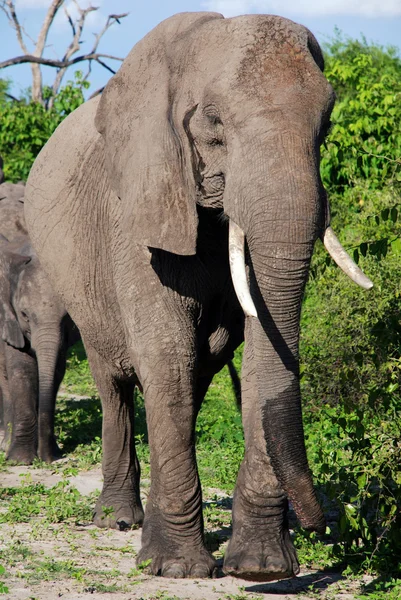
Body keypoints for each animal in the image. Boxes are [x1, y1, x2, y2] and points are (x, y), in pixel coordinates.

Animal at [23, 10, 370, 580]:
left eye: (325, 125)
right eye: (213, 121)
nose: (320, 524)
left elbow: (256, 348)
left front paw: (260, 569)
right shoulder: (137, 208)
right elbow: (166, 352)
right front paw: (178, 570)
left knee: (195, 376)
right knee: (117, 381)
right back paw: (119, 521)